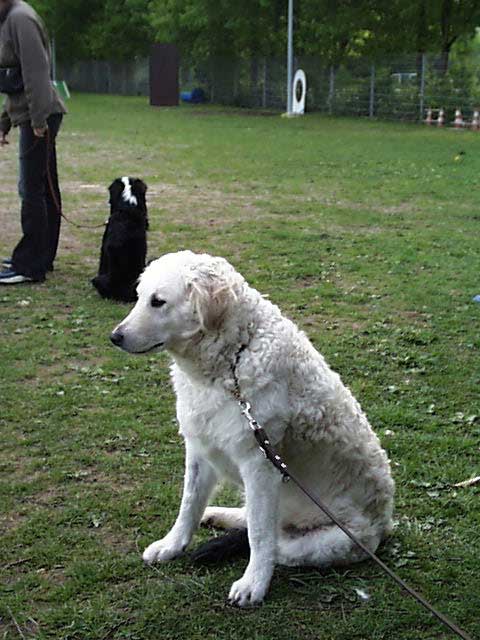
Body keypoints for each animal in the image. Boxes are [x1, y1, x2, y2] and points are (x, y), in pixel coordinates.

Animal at [110, 250, 394, 606]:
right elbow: (188, 505)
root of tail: (386, 526)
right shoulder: (199, 449)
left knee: (271, 541)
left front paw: (252, 585)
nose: (114, 337)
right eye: (138, 297)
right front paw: (171, 545)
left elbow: (259, 537)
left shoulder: (260, 466)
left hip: (320, 541)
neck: (233, 358)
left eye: (158, 302)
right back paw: (218, 515)